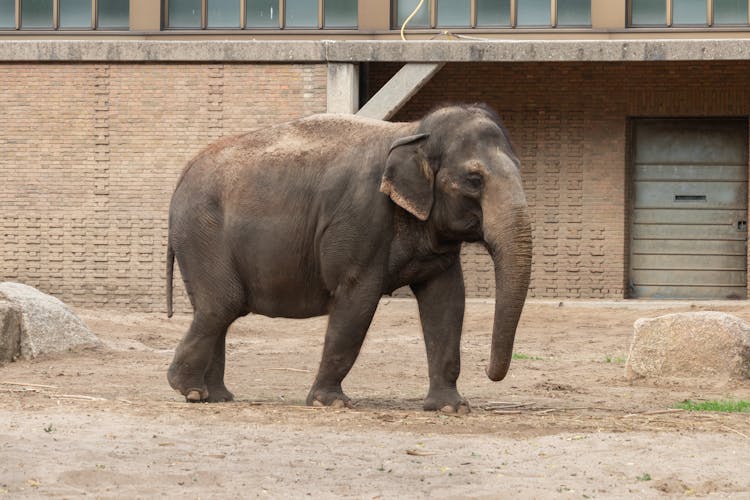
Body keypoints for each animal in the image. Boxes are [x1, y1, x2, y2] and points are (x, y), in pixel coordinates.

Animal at [167, 102, 536, 414]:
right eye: (474, 180)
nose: (488, 371)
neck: (414, 131)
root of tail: (182, 175)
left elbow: (447, 301)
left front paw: (451, 408)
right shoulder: (360, 220)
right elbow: (357, 301)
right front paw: (330, 403)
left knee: (217, 310)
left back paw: (216, 396)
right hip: (203, 234)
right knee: (222, 305)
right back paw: (189, 390)